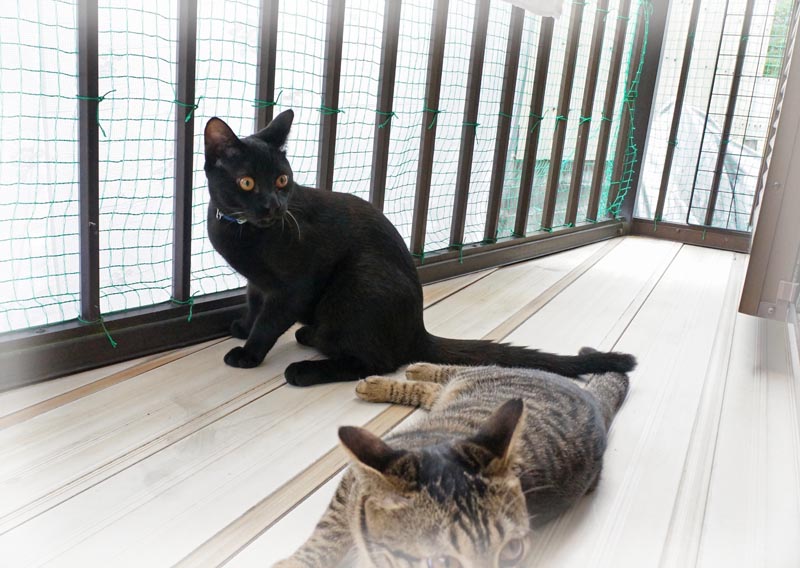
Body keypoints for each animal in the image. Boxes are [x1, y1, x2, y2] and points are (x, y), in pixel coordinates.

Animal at [203, 110, 636, 386]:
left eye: (281, 180)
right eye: (247, 183)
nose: (273, 207)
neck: (241, 232)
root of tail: (417, 329)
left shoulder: (293, 286)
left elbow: (270, 321)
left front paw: (249, 353)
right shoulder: (258, 283)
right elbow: (254, 306)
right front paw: (243, 327)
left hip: (358, 284)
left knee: (378, 362)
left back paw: (306, 370)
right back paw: (313, 337)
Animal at [273, 346, 629, 567]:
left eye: (512, 551)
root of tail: (595, 401)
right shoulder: (351, 482)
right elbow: (328, 532)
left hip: (466, 385)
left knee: (436, 386)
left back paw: (396, 377)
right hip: (474, 379)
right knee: (452, 371)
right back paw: (409, 371)